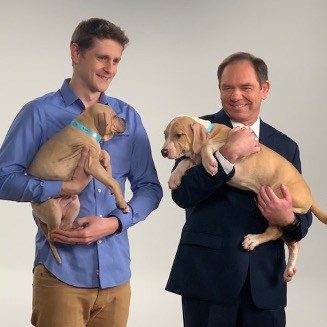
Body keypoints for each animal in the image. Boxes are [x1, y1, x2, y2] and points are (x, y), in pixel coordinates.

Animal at [29, 103, 129, 264]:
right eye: (114, 116)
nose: (125, 120)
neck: (86, 128)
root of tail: (33, 208)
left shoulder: (95, 154)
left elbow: (105, 155)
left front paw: (108, 168)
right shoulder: (91, 164)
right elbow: (113, 182)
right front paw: (122, 204)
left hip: (74, 203)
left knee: (64, 227)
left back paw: (76, 230)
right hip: (52, 210)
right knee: (53, 234)